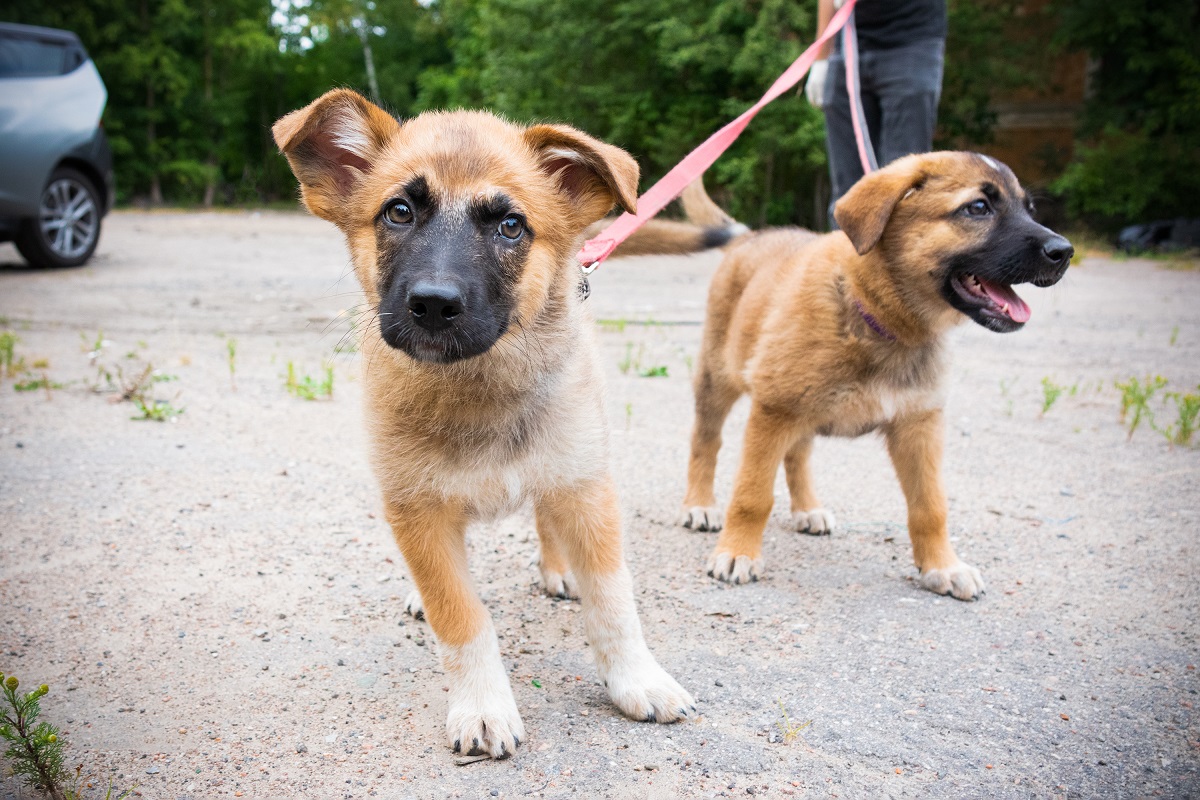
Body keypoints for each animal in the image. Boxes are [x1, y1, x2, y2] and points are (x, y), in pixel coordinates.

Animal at [267, 90, 691, 762]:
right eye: (399, 212)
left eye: (510, 226)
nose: (434, 305)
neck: (478, 389)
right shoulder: (417, 508)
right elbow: (461, 616)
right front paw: (484, 707)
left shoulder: (585, 486)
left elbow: (613, 601)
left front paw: (638, 679)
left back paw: (559, 570)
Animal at [681, 149, 1075, 599]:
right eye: (978, 208)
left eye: (1030, 209)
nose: (1065, 251)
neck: (879, 319)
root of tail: (750, 237)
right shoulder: (773, 412)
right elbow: (752, 495)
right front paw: (737, 553)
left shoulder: (919, 427)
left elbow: (930, 507)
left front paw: (943, 566)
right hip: (720, 381)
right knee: (706, 441)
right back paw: (699, 504)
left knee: (798, 454)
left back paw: (808, 509)